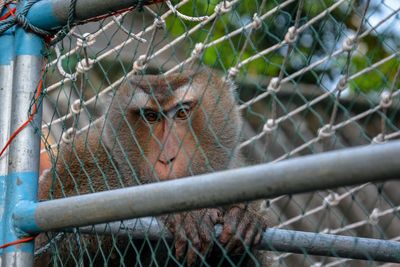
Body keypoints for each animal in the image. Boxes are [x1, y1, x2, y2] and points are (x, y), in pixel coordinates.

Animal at [36, 69, 268, 267]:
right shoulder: (91, 162)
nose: (167, 158)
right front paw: (185, 215)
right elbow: (53, 243)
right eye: (150, 116)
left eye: (182, 113)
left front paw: (244, 215)